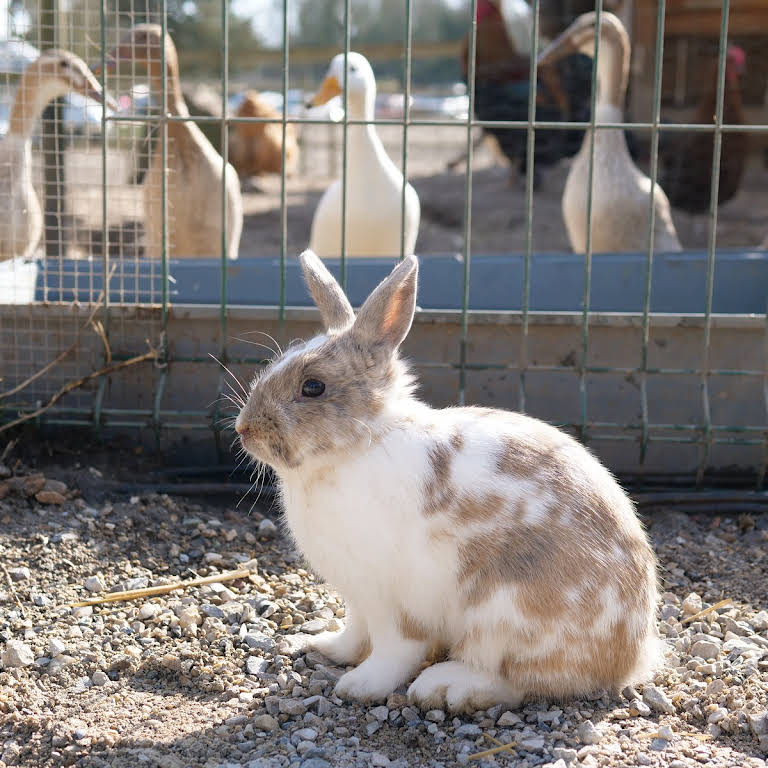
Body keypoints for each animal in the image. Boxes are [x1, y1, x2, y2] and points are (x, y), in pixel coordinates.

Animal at [236, 254, 660, 712]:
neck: (359, 446)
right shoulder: (358, 595)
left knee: (513, 681)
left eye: (313, 386)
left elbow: (395, 648)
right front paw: (323, 647)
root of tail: (629, 659)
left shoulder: (391, 599)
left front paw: (360, 686)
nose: (244, 429)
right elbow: (355, 633)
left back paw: (443, 687)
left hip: (501, 615)